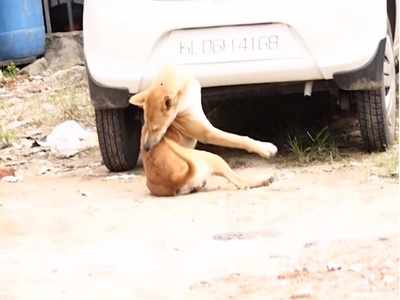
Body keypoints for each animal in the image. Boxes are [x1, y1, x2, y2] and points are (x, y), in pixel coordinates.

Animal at [130, 66, 276, 197]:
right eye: (147, 126)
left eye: (154, 128)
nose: (146, 148)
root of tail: (176, 180)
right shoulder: (208, 132)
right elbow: (239, 139)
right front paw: (265, 148)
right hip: (213, 158)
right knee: (241, 183)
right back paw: (263, 181)